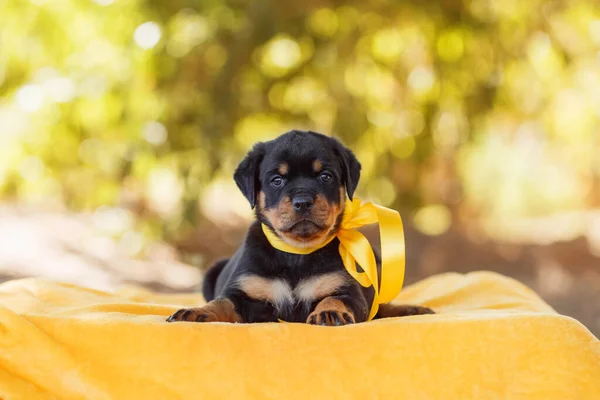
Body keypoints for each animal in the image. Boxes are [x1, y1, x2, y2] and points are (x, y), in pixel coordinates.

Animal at [166, 131, 434, 324]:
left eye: (325, 176)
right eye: (277, 180)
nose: (303, 201)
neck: (296, 253)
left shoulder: (348, 291)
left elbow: (335, 299)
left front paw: (328, 313)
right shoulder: (243, 295)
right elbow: (221, 303)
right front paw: (196, 311)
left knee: (381, 306)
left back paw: (411, 309)